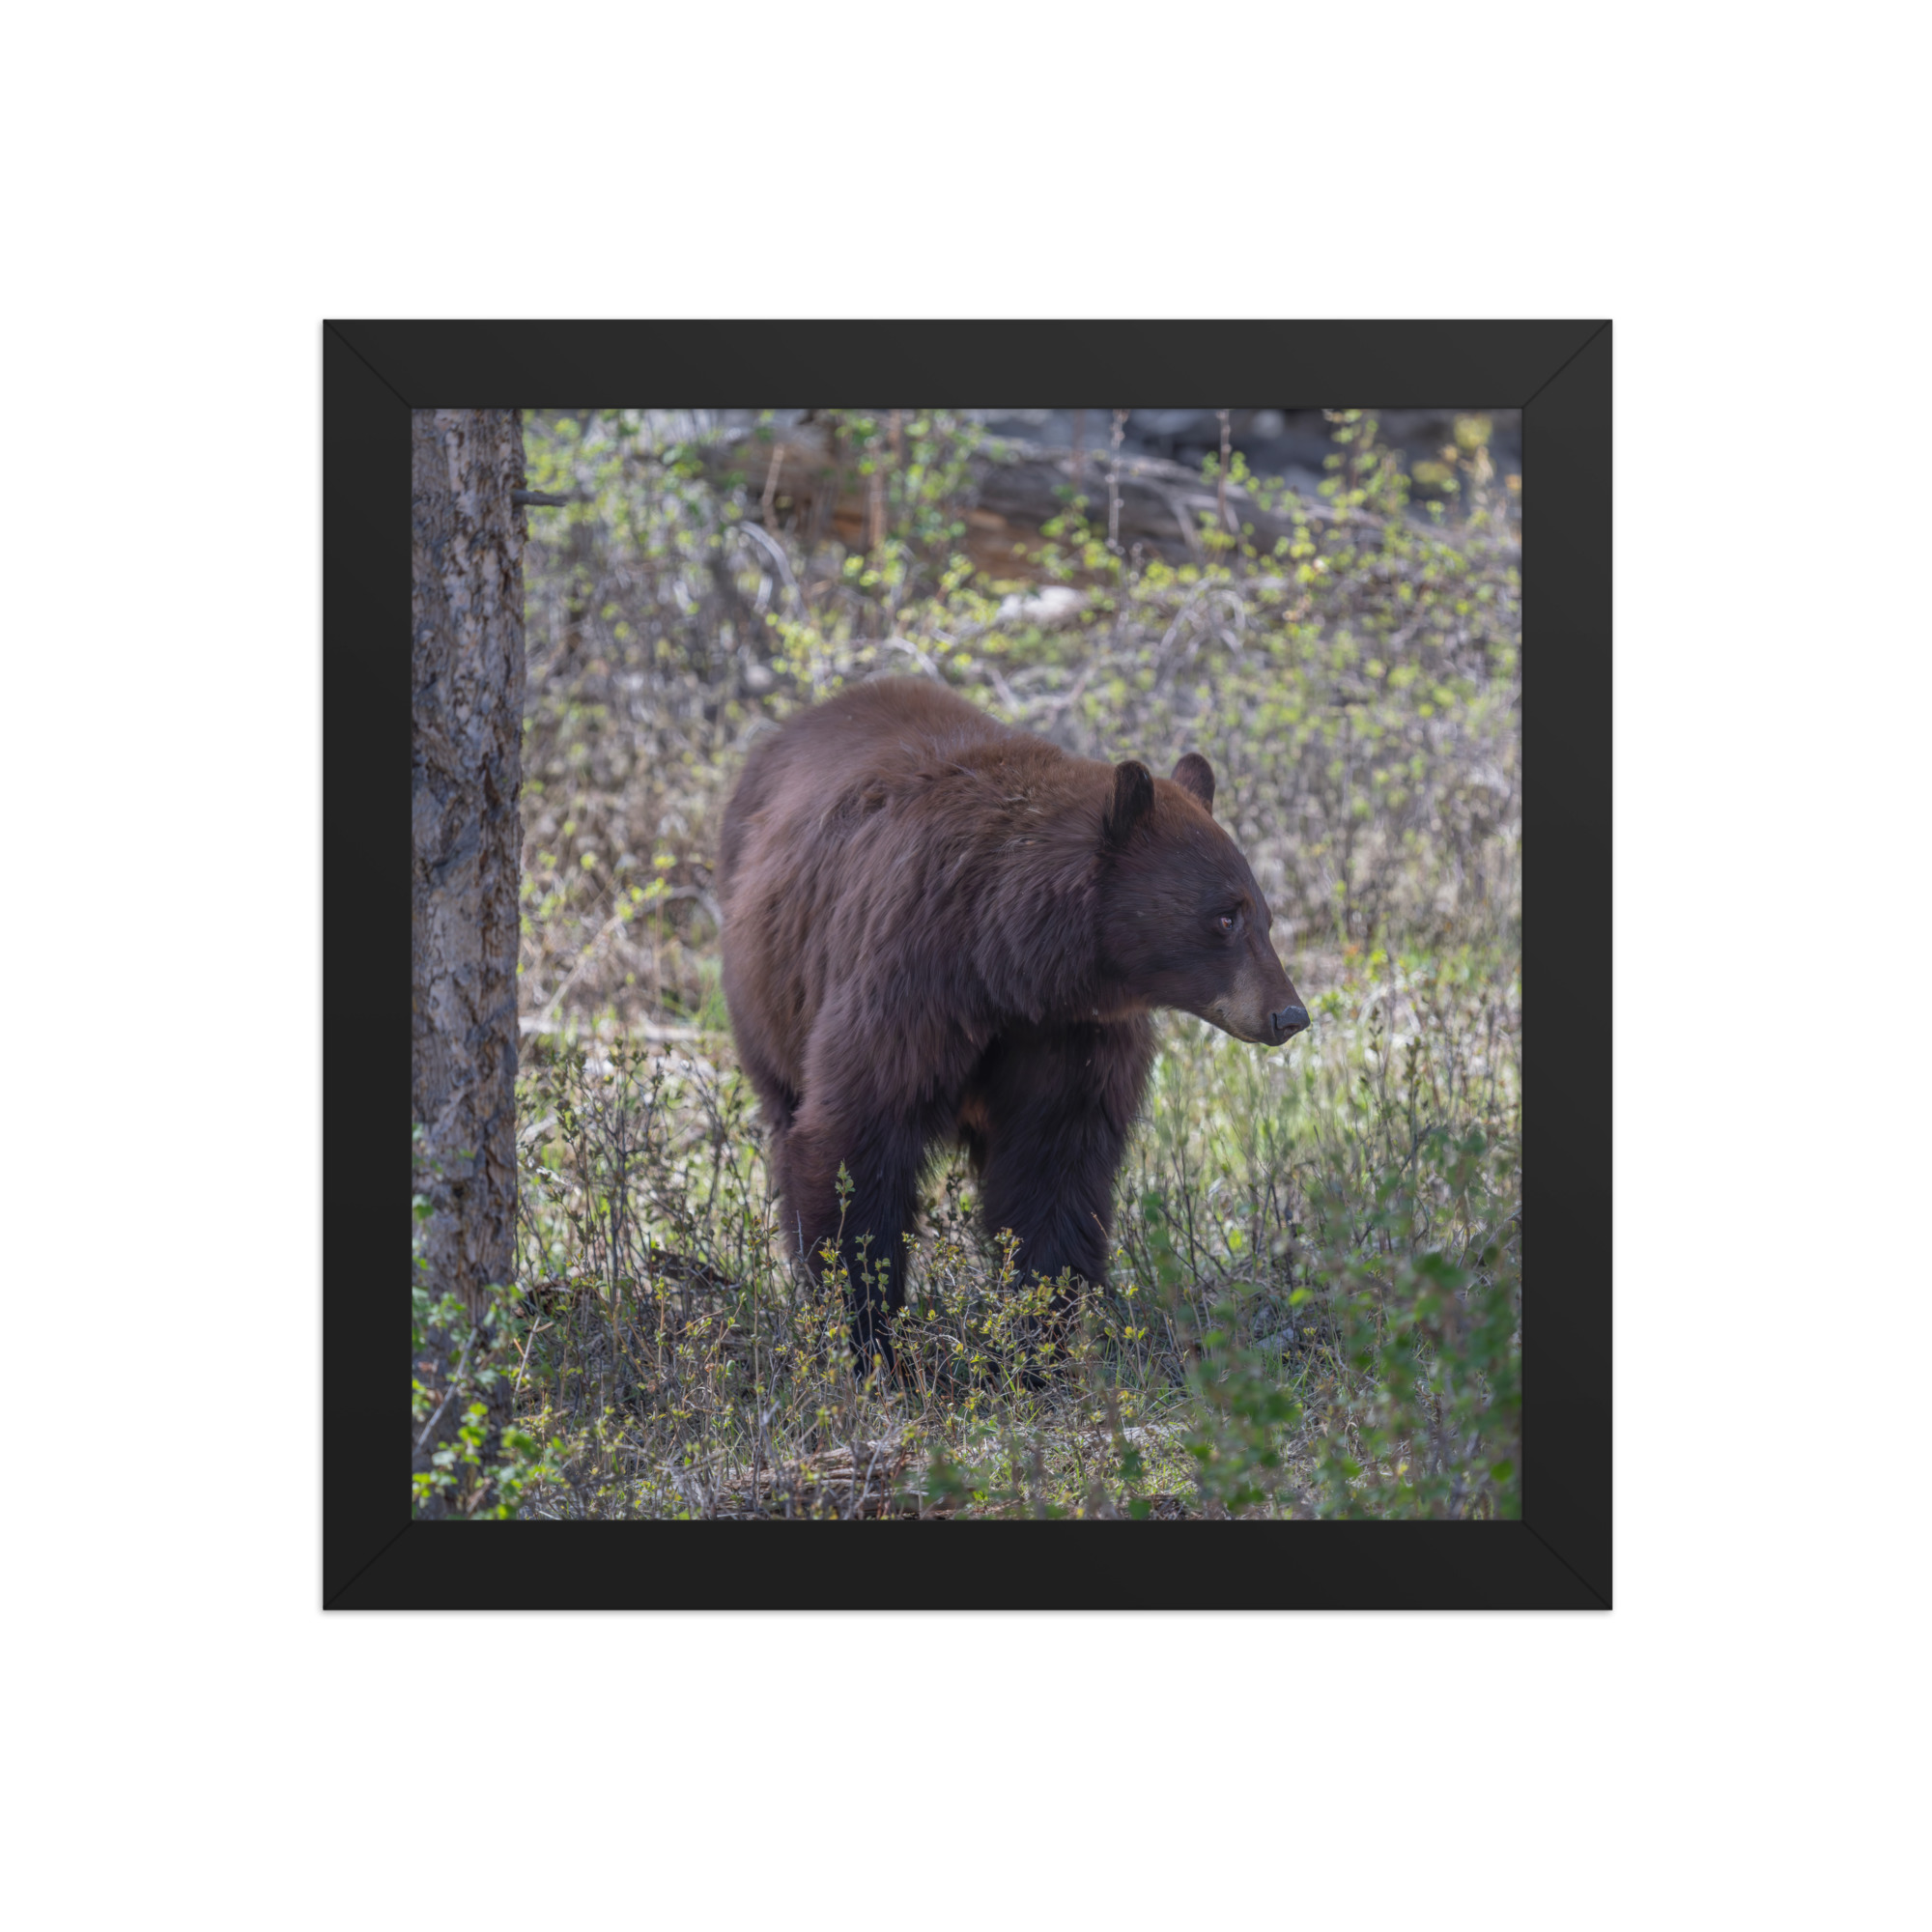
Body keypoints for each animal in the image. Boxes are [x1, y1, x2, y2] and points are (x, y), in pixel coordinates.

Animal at [715, 677, 1307, 1371]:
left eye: (1264, 916)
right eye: (1224, 917)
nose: (1289, 1014)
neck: (1006, 962)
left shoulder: (1070, 1034)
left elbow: (1055, 1166)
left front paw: (1037, 1342)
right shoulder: (908, 980)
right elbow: (856, 1139)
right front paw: (871, 1342)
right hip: (768, 994)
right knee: (787, 1119)